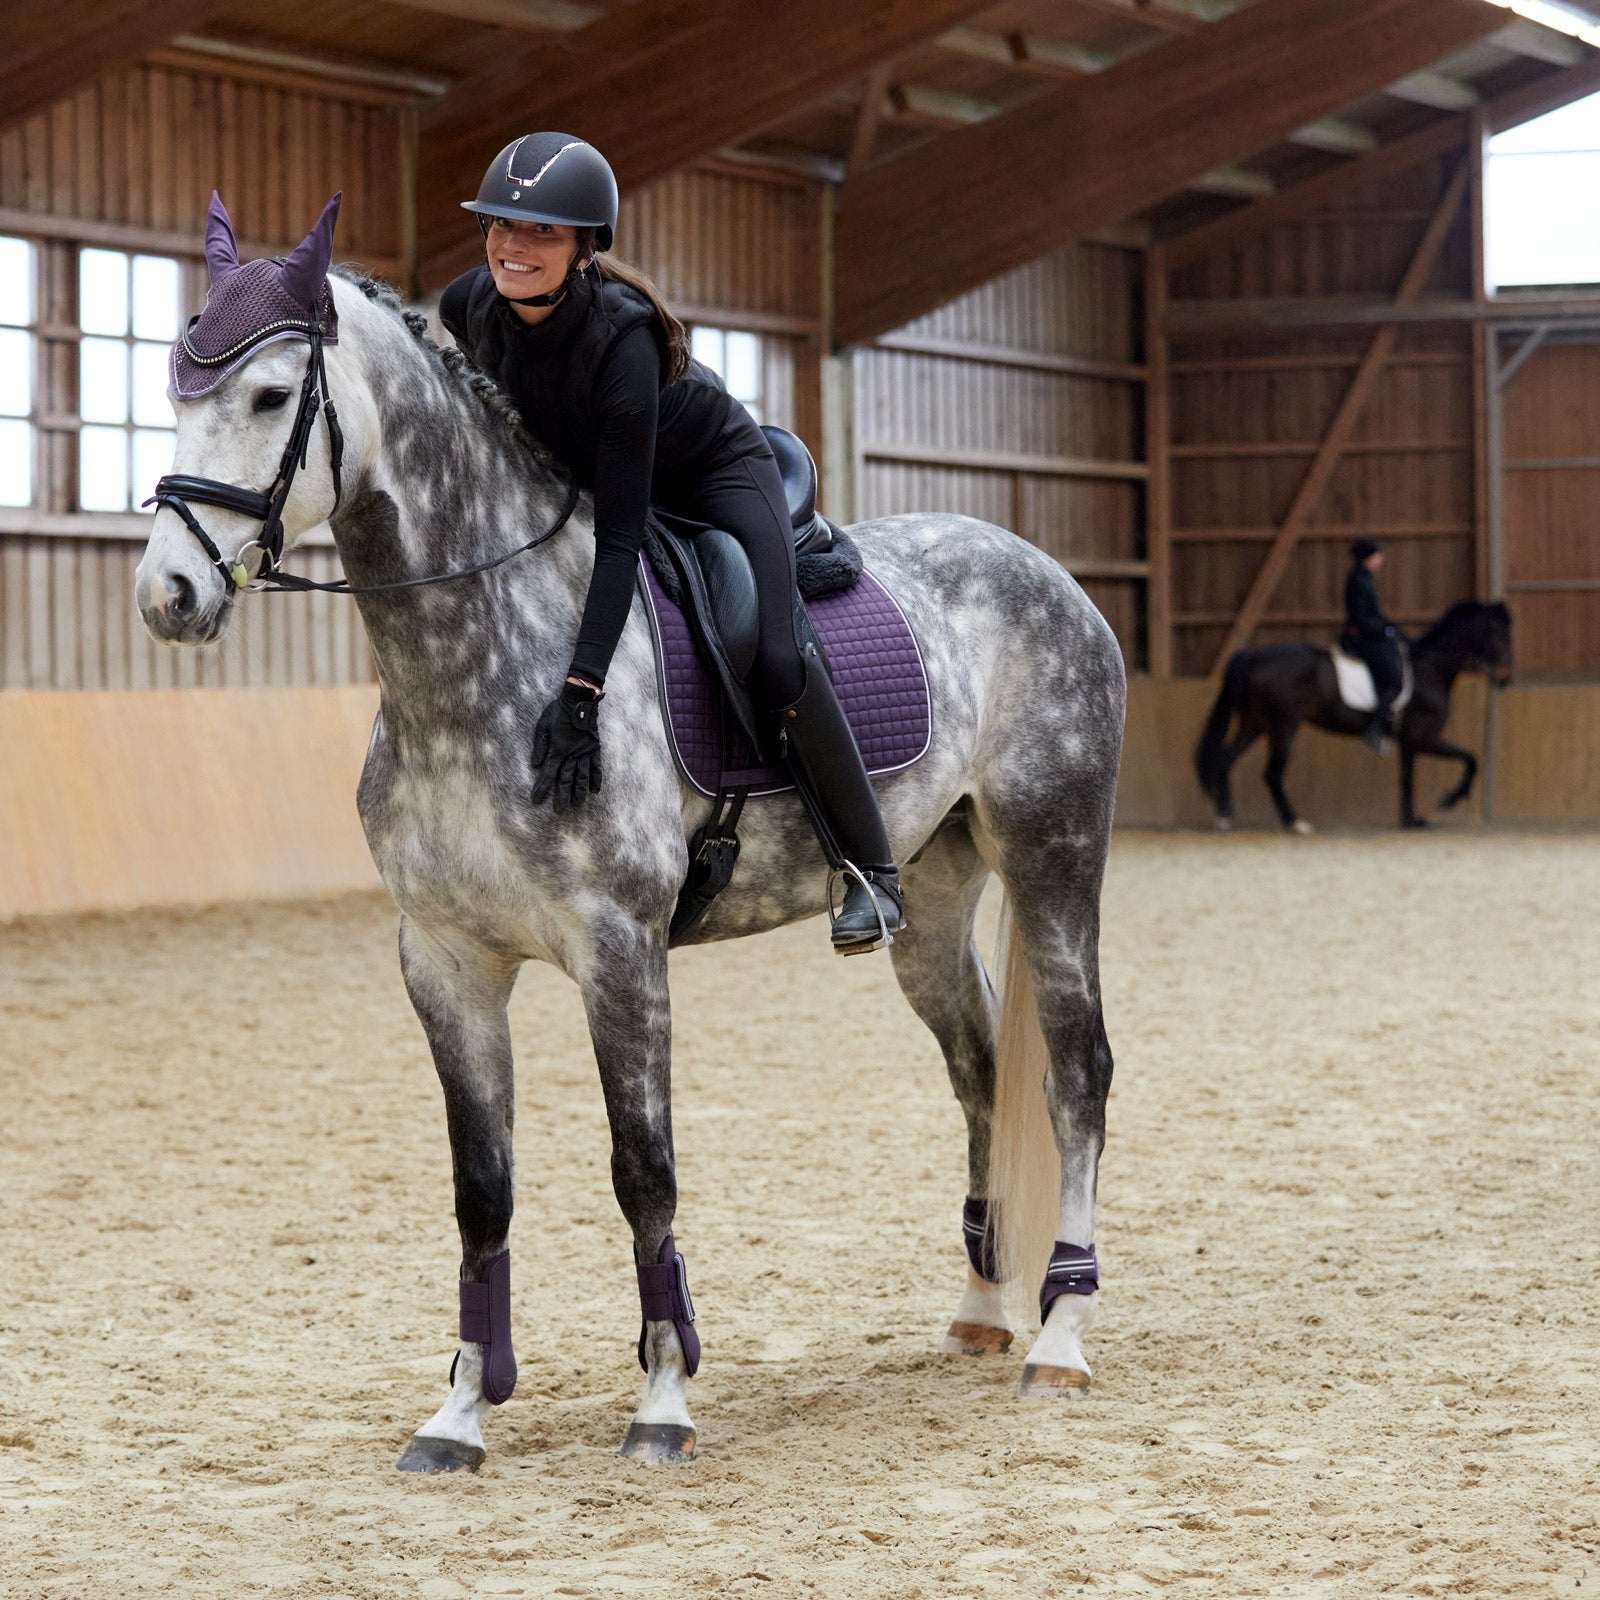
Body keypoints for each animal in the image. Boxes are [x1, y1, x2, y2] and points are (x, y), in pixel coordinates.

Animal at [132, 206, 1125, 1475]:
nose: (168, 595)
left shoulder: (619, 951)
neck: (476, 666)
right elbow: (482, 1189)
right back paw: (983, 1310)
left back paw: (1061, 1336)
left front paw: (662, 1400)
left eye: (266, 397)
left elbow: (642, 1170)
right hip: (934, 901)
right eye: (173, 390)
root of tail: (1045, 569)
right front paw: (459, 1413)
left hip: (1053, 851)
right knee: (982, 1071)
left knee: (1075, 1069)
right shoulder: (444, 960)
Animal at [1195, 601, 1513, 833]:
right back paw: (1295, 822)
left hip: (1255, 725)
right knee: (1272, 774)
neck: (1431, 668)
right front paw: (1450, 799)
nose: (1505, 678)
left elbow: (1408, 778)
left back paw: (1224, 816)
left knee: (1225, 759)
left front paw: (1410, 821)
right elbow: (1471, 759)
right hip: (1283, 727)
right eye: (1499, 635)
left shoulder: (1409, 742)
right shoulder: (1425, 738)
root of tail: (1250, 656)